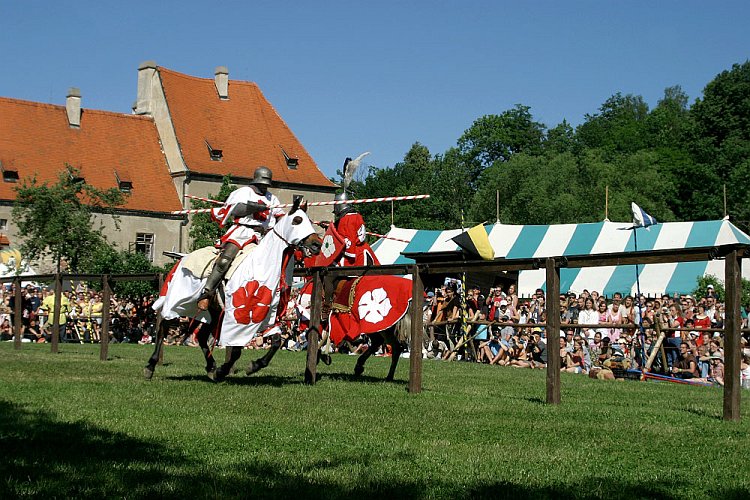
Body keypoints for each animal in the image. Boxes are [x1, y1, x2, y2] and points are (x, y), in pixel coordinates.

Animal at [145, 197, 322, 380]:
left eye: (309, 221)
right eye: (297, 220)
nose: (317, 244)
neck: (263, 263)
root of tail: (183, 258)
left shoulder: (266, 314)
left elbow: (276, 342)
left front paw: (253, 366)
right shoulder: (240, 316)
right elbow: (236, 350)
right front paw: (224, 370)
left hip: (214, 312)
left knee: (201, 336)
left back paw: (211, 367)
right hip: (179, 302)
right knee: (163, 327)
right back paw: (151, 365)